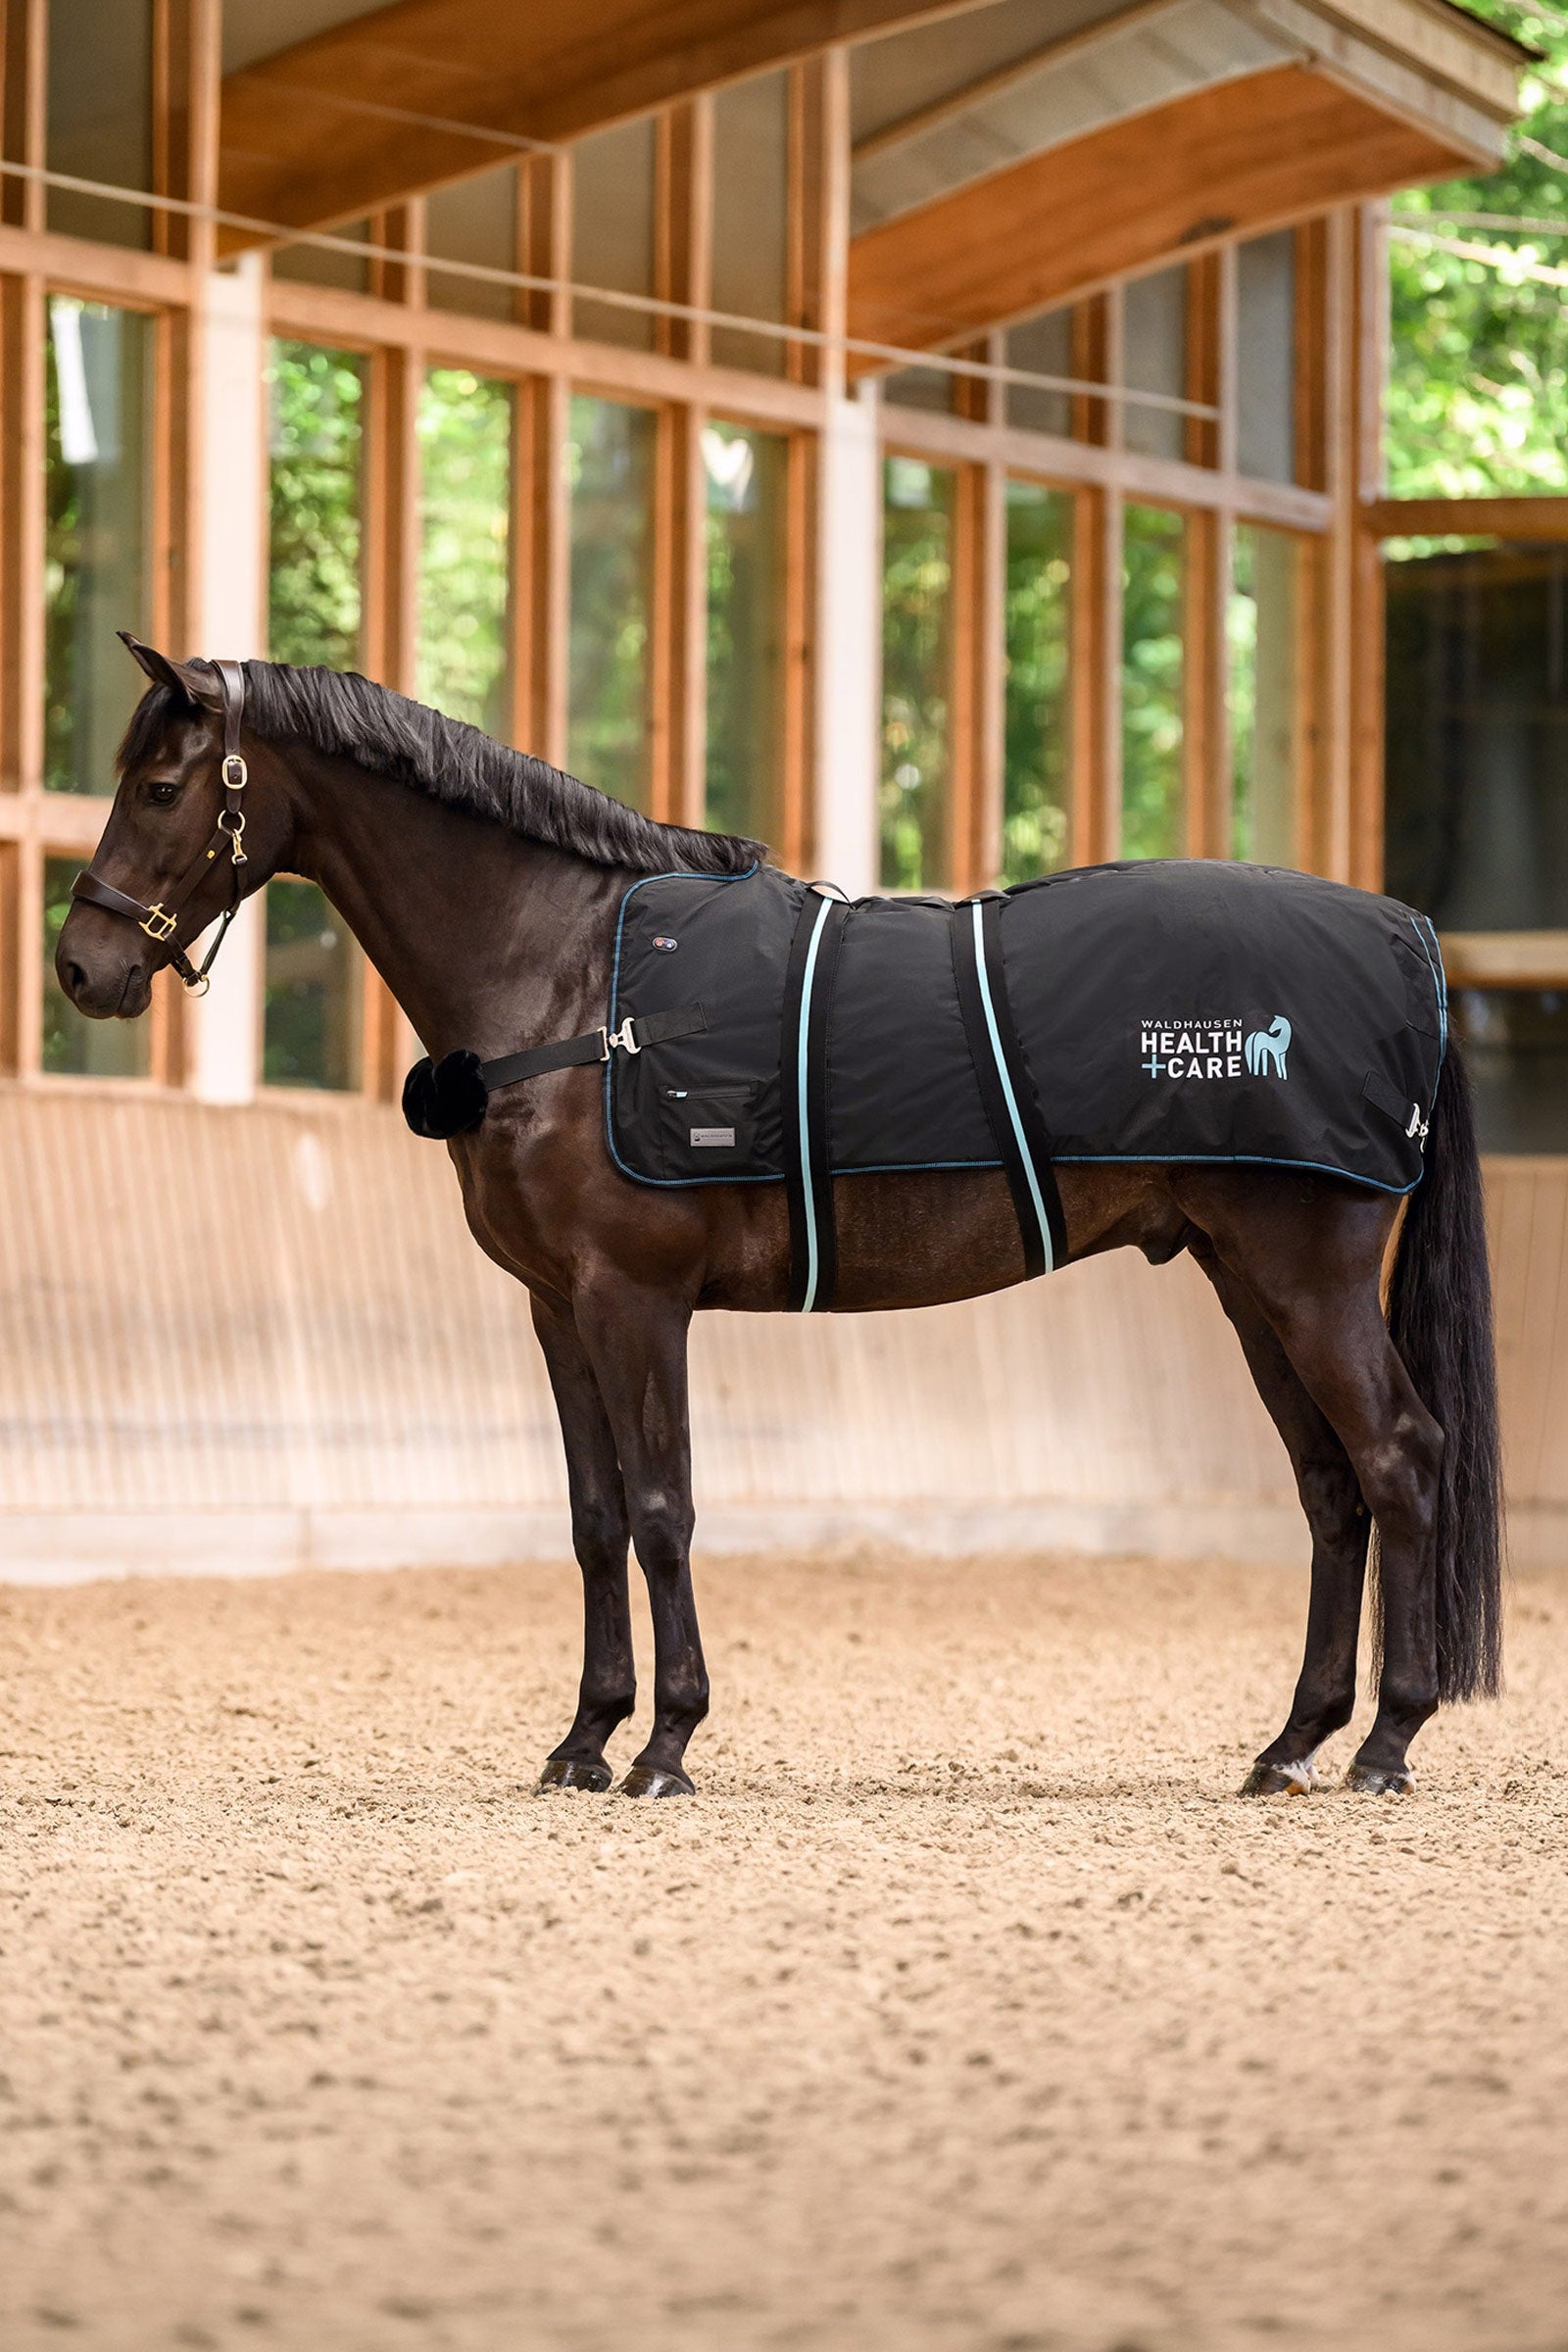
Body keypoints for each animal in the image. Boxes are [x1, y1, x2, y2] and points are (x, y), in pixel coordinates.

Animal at [55, 638, 1503, 1801]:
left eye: (164, 789)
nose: (83, 967)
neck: (571, 975)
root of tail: (1409, 936)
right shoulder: (556, 1308)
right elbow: (591, 1516)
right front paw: (585, 1739)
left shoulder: (635, 1300)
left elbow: (661, 1505)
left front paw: (664, 1745)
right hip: (1244, 1279)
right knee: (1330, 1490)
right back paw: (1293, 1744)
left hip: (1305, 1277)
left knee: (1399, 1459)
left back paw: (1385, 1744)